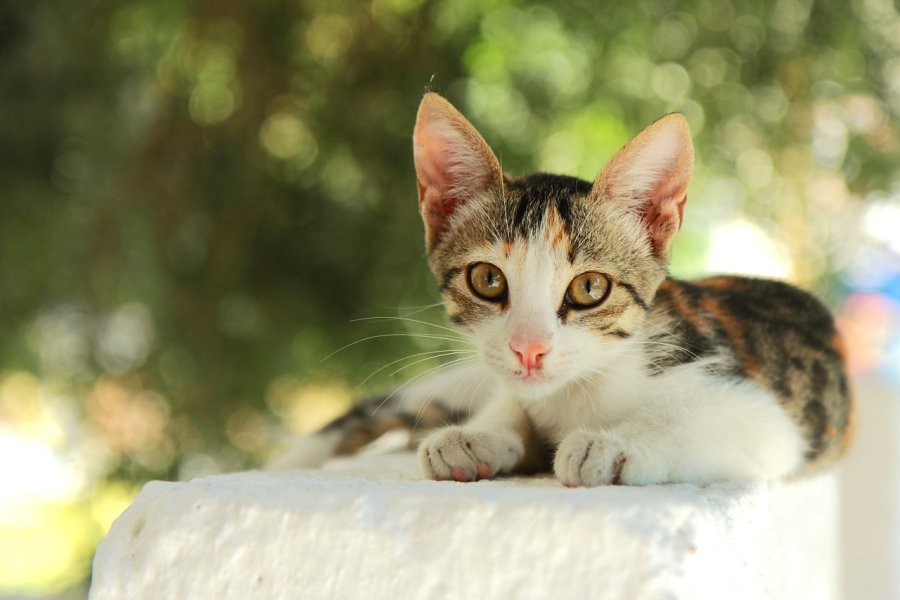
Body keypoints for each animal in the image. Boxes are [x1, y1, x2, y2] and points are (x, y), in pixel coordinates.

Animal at [268, 92, 856, 488]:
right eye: (487, 280)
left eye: (590, 287)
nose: (529, 349)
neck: (580, 390)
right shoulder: (513, 387)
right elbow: (511, 409)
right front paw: (475, 437)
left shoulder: (767, 415)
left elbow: (708, 425)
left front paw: (612, 443)